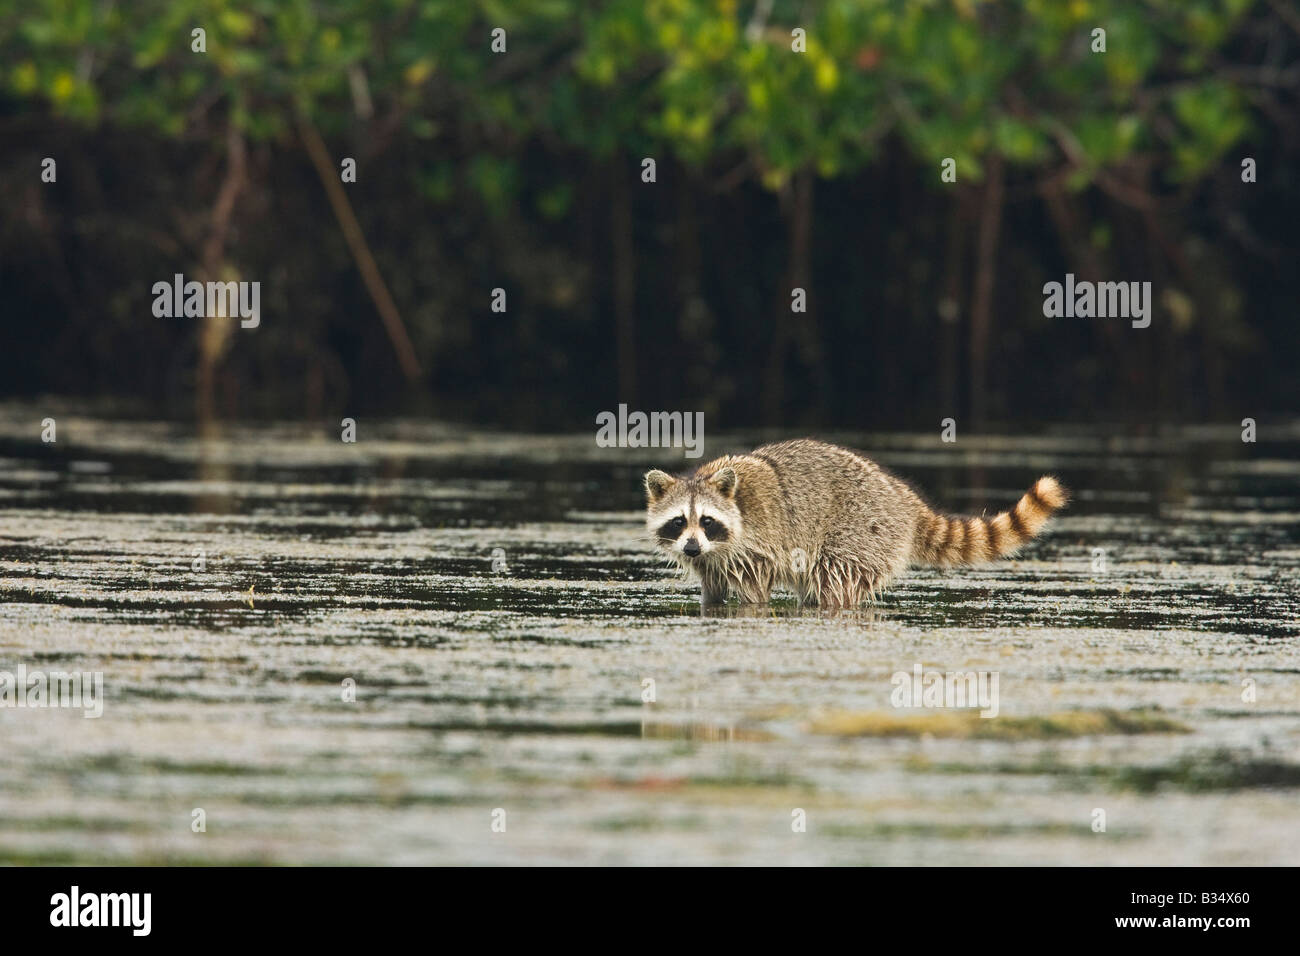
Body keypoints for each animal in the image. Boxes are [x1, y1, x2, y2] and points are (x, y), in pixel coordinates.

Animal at [642, 439, 1066, 608]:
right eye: (679, 522)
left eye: (707, 521)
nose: (691, 547)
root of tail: (905, 500)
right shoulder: (712, 559)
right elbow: (712, 586)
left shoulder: (757, 546)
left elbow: (754, 589)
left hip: (862, 530)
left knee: (834, 579)